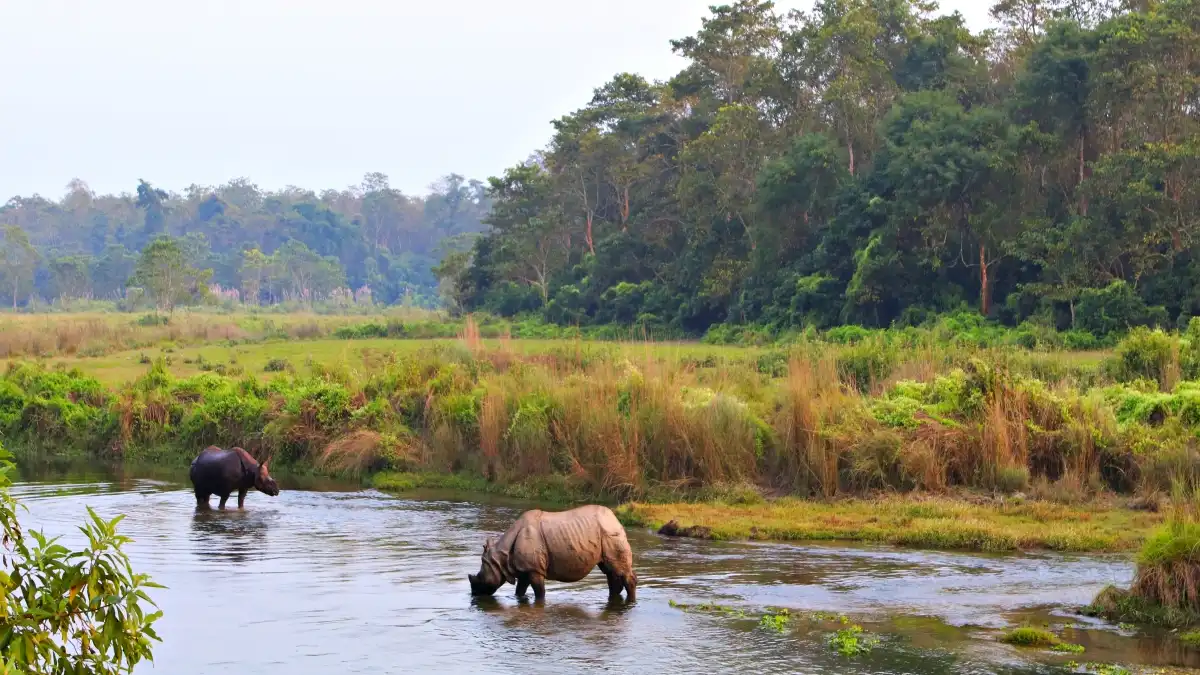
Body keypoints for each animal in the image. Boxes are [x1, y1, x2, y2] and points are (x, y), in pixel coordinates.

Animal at [468, 505, 637, 601]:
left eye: (480, 577)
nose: (474, 594)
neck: (500, 557)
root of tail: (615, 518)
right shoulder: (524, 569)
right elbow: (519, 590)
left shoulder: (535, 570)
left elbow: (539, 592)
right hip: (605, 533)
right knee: (610, 571)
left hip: (610, 533)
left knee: (618, 569)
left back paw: (631, 602)